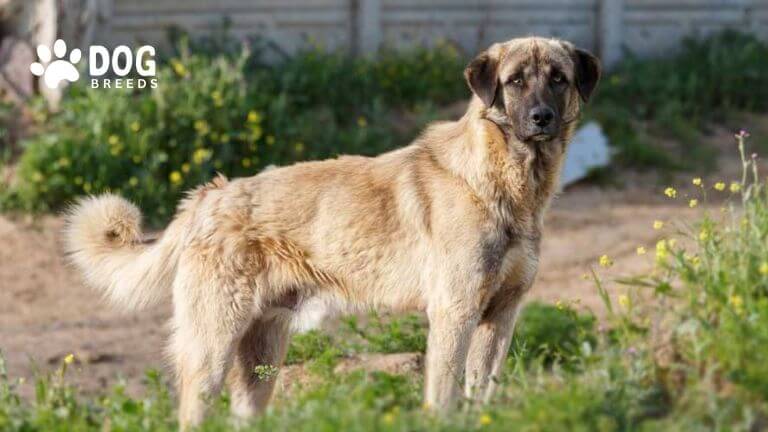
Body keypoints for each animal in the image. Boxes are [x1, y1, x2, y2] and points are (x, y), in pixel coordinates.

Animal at [63, 37, 600, 428]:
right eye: (515, 82)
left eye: (558, 79)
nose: (541, 118)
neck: (501, 181)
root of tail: (209, 196)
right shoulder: (455, 314)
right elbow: (444, 396)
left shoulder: (500, 318)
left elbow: (481, 391)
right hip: (211, 346)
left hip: (261, 359)